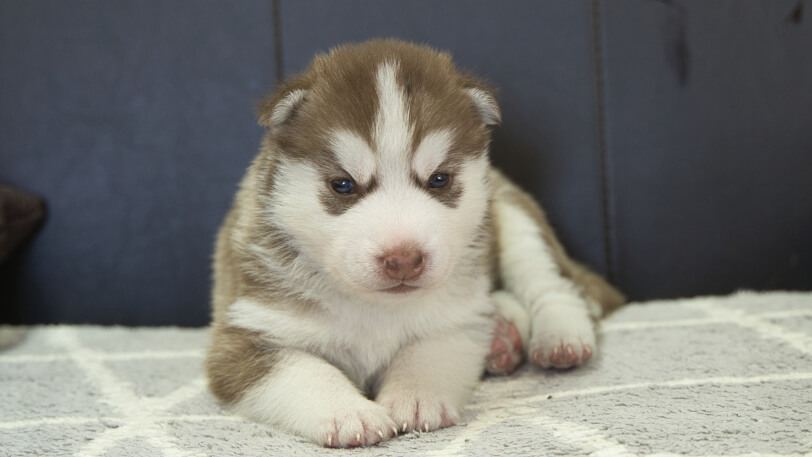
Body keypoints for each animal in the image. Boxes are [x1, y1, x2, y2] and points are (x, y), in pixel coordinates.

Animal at [206, 38, 624, 446]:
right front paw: (347, 412)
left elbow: (427, 353)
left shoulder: (460, 317)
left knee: (553, 284)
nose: (404, 259)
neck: (374, 307)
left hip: (514, 215)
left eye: (439, 179)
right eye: (343, 184)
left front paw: (416, 396)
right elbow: (302, 370)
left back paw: (559, 337)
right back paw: (504, 338)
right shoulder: (245, 336)